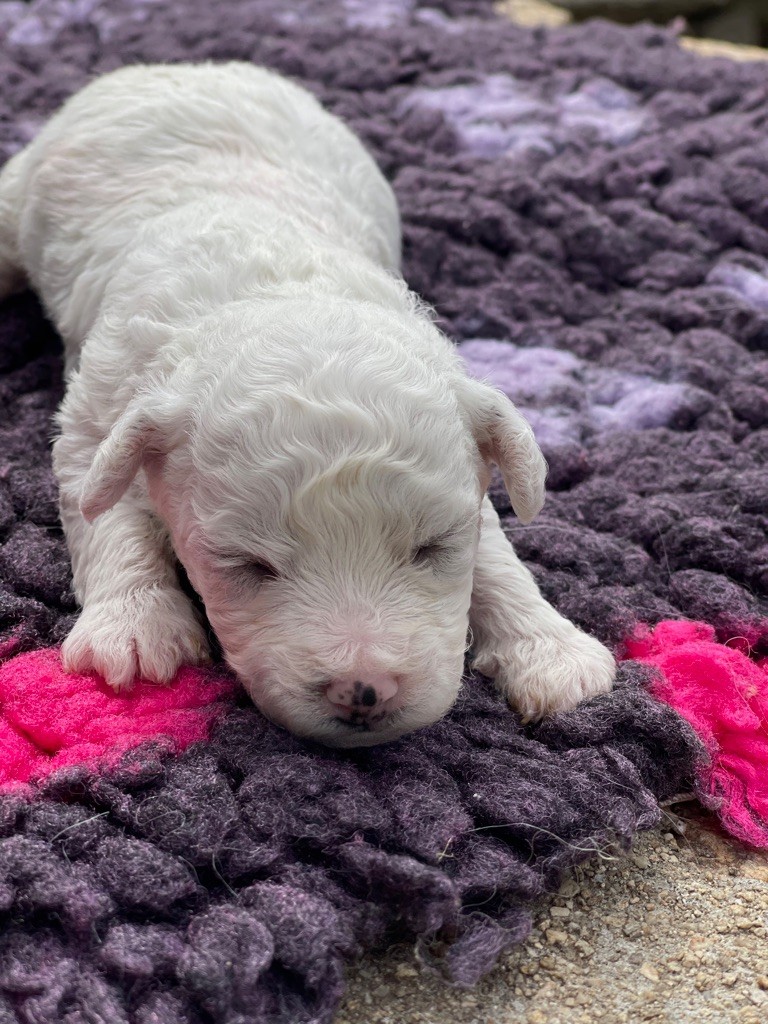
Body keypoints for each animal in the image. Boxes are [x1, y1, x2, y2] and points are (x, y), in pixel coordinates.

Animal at [0, 62, 615, 747]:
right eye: (248, 565)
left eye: (432, 548)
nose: (364, 690)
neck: (274, 292)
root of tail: (181, 67)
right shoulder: (99, 409)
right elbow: (104, 509)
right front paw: (136, 629)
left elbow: (495, 551)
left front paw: (551, 650)